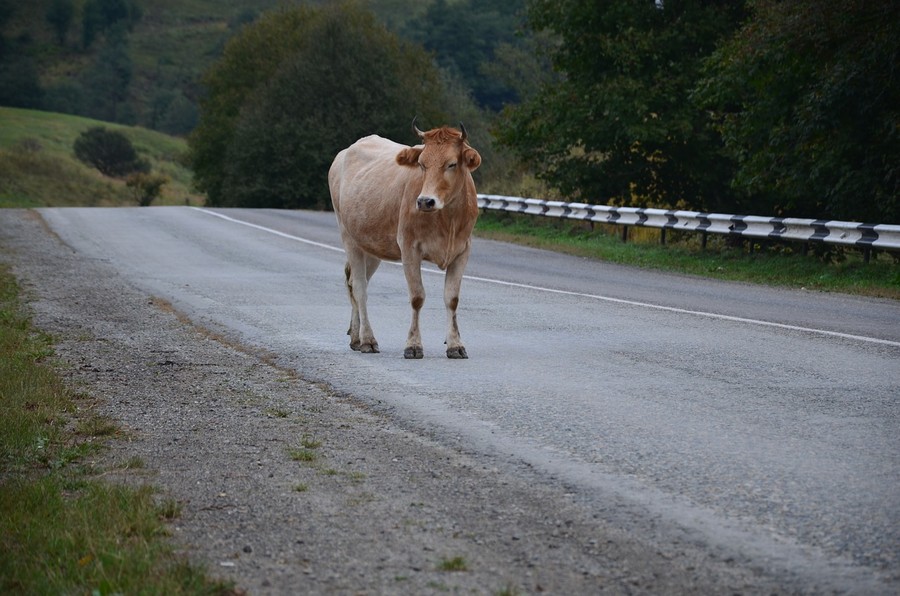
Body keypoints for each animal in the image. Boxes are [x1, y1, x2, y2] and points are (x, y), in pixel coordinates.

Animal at [328, 118, 482, 356]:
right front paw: (413, 345)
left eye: (452, 164)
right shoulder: (409, 248)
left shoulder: (462, 250)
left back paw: (355, 336)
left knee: (355, 282)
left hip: (371, 245)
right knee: (360, 288)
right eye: (422, 164)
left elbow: (452, 299)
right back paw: (367, 339)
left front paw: (455, 344)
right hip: (348, 237)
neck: (448, 219)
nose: (425, 201)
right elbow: (417, 297)